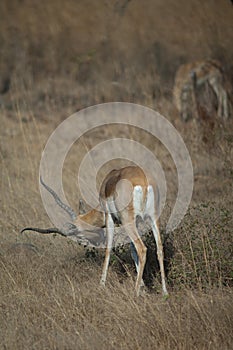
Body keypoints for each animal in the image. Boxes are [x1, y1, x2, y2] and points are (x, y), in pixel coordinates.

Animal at [21, 165, 167, 296]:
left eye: (78, 236)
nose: (95, 242)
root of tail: (143, 181)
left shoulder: (109, 217)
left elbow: (109, 249)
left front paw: (101, 285)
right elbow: (133, 252)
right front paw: (143, 287)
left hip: (128, 221)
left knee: (142, 249)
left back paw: (135, 293)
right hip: (153, 218)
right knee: (159, 249)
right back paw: (164, 292)